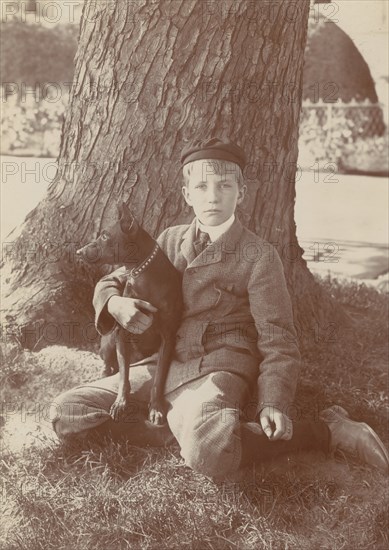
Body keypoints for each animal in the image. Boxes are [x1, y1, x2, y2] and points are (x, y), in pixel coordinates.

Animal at [78, 205, 184, 424]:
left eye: (105, 235)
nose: (78, 251)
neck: (140, 273)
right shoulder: (122, 332)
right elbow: (123, 376)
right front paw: (120, 403)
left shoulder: (168, 337)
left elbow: (158, 377)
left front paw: (155, 407)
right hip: (109, 340)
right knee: (109, 361)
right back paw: (105, 372)